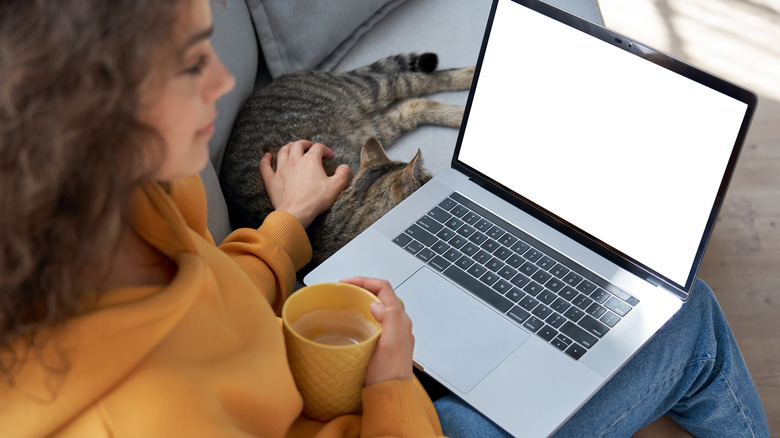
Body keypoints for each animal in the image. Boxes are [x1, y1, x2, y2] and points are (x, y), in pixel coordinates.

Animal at [221, 52, 476, 266]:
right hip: (379, 120)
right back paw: (462, 111)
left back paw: (470, 80)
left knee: (417, 82)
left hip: (369, 94)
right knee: (414, 101)